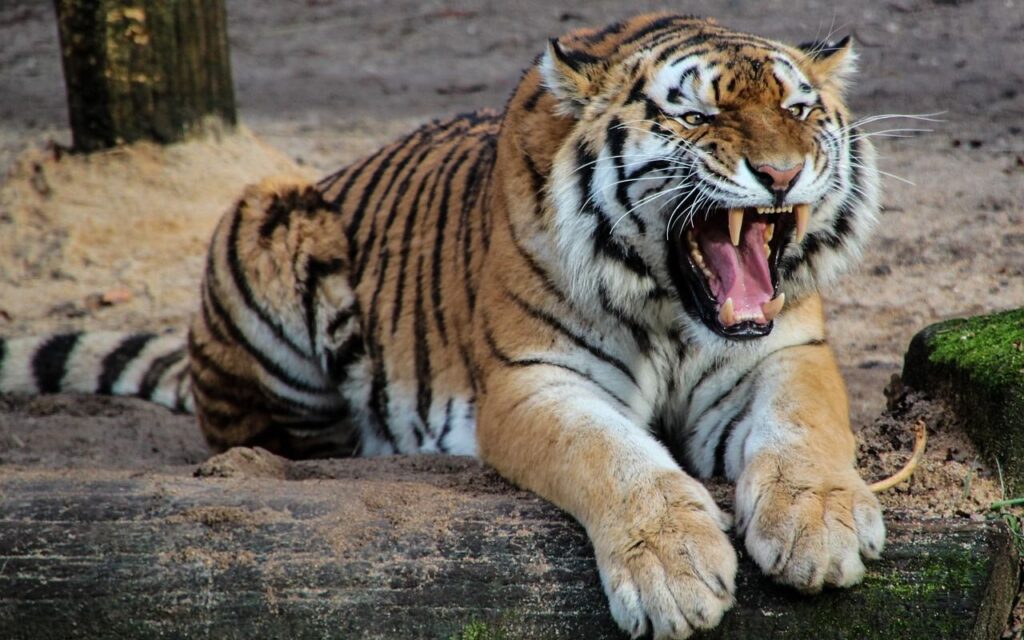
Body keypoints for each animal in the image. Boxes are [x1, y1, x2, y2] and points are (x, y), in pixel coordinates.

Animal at [0, 13, 885, 639]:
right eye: (697, 117)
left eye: (798, 110)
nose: (781, 174)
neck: (672, 308)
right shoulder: (533, 380)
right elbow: (614, 457)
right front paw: (674, 570)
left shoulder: (786, 350)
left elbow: (804, 427)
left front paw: (820, 527)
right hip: (267, 215)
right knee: (267, 437)